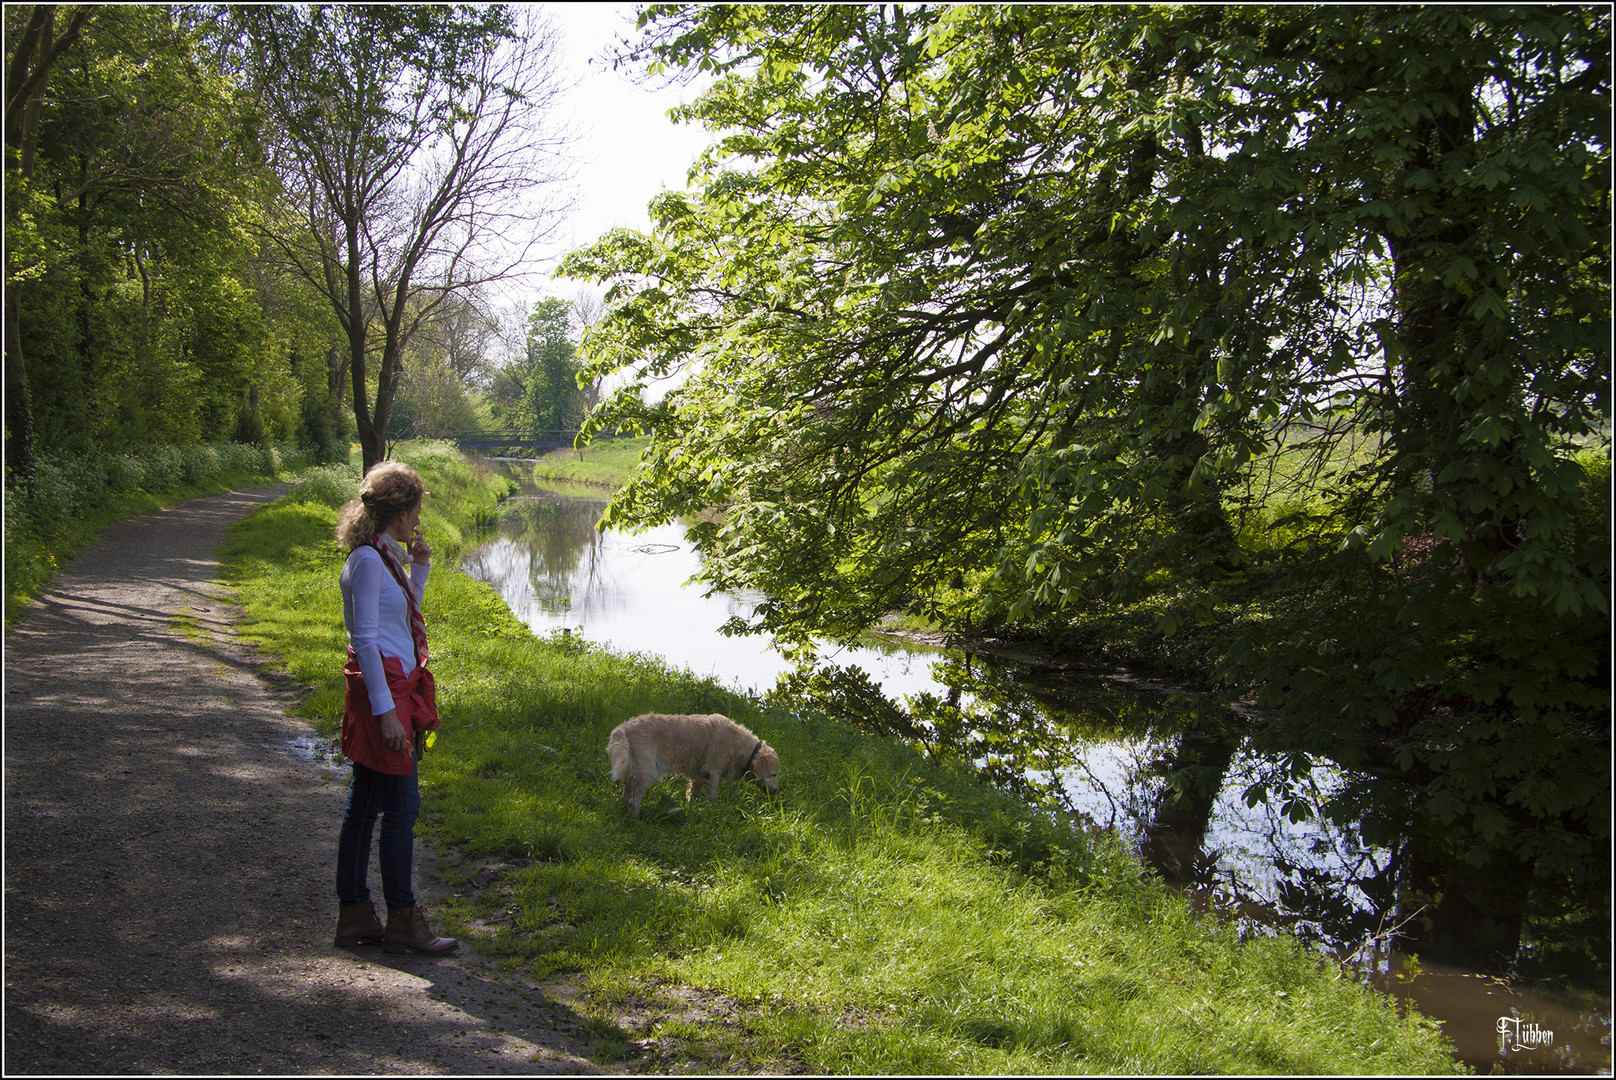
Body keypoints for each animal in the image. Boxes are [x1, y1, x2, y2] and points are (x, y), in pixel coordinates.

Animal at [607, 708, 782, 818]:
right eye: (773, 774)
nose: (776, 791)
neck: (740, 746)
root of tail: (623, 728)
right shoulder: (712, 772)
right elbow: (712, 796)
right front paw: (715, 811)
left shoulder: (699, 774)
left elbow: (693, 794)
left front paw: (694, 808)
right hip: (646, 771)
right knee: (633, 802)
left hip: (631, 771)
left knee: (626, 796)